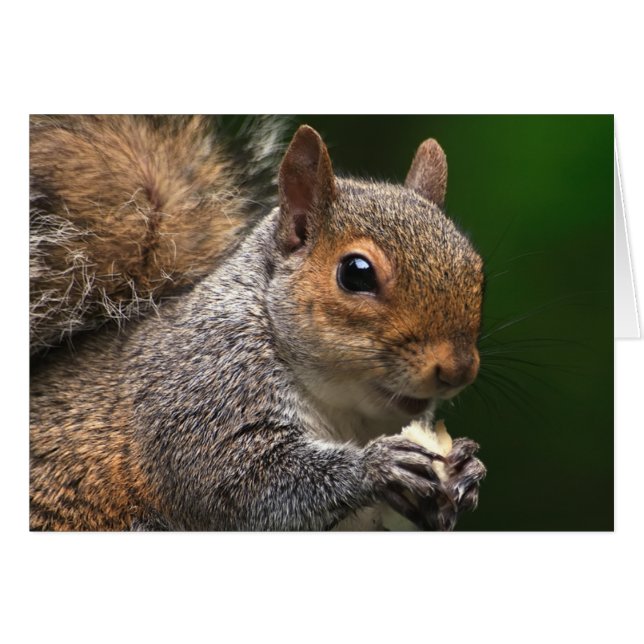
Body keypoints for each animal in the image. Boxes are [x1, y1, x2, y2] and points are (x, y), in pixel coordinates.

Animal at [29, 115, 486, 531]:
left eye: (477, 267)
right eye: (356, 273)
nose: (458, 370)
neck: (344, 410)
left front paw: (466, 471)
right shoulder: (201, 392)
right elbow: (245, 481)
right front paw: (375, 465)